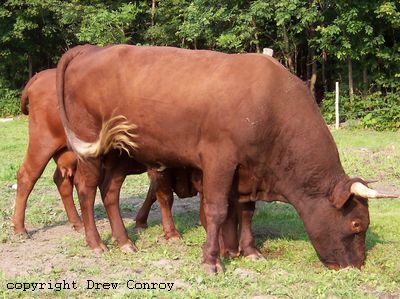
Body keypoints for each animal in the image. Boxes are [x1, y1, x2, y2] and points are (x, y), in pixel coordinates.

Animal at [55, 44, 396, 274]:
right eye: (356, 225)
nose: (355, 266)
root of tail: (91, 49)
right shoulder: (219, 158)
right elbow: (217, 210)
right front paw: (211, 260)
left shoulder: (250, 171)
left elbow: (246, 211)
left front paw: (249, 251)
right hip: (90, 145)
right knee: (87, 190)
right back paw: (96, 243)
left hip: (120, 153)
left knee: (110, 191)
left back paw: (125, 242)